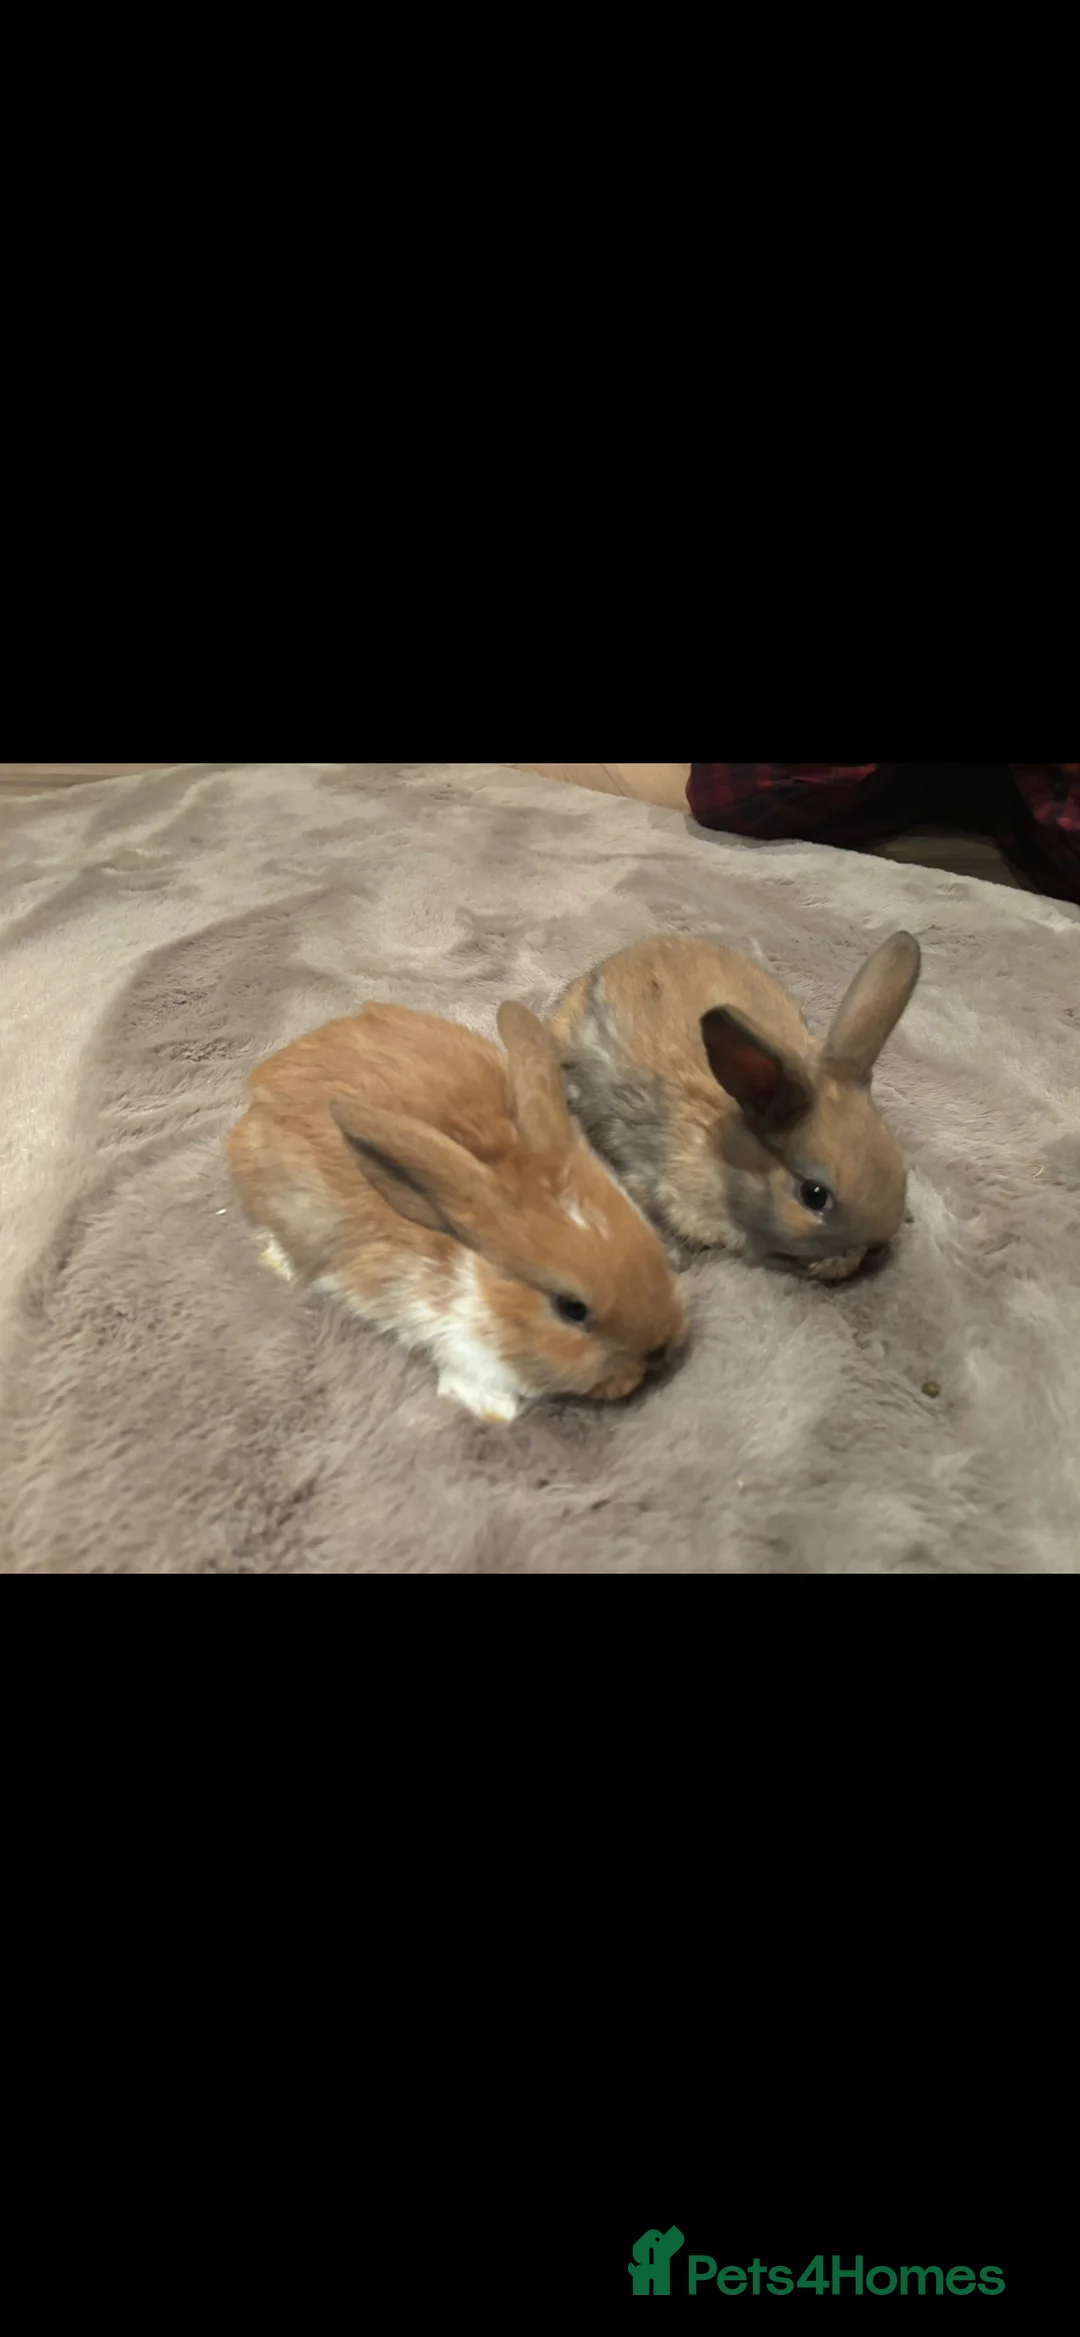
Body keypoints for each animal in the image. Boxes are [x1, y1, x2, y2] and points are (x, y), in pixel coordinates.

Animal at [227, 999, 687, 1422]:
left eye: (649, 1237)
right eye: (570, 1308)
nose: (660, 1351)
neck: (478, 1284)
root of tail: (263, 1081)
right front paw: (493, 1411)